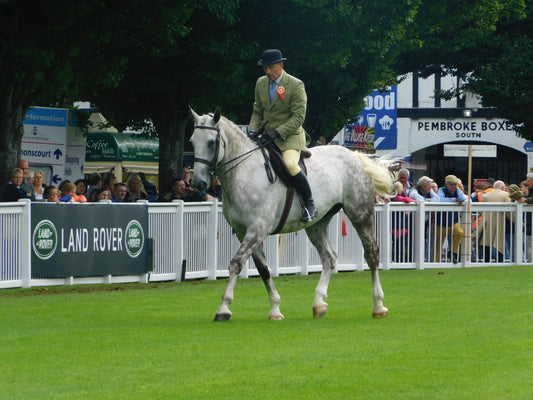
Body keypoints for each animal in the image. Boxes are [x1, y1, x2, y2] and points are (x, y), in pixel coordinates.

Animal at [189, 109, 392, 322]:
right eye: (192, 141)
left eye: (212, 142)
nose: (199, 183)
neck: (244, 172)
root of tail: (355, 156)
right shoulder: (244, 232)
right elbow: (263, 269)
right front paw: (275, 309)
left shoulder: (257, 229)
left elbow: (236, 263)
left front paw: (223, 308)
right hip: (317, 224)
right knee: (329, 257)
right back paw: (319, 304)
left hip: (360, 215)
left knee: (371, 254)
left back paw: (378, 306)